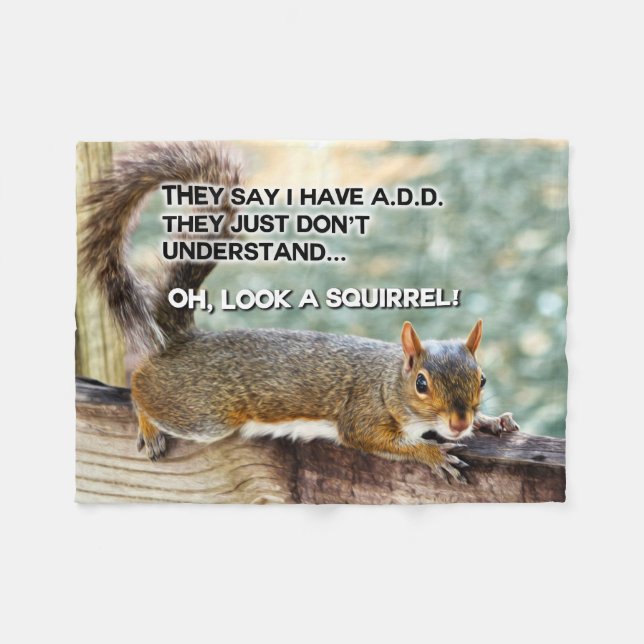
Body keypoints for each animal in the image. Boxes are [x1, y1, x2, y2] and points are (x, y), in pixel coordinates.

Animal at [80, 141, 519, 483]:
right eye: (422, 384)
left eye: (481, 378)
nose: (459, 421)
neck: (387, 381)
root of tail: (184, 341)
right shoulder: (362, 417)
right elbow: (374, 441)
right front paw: (432, 454)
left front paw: (488, 421)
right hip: (203, 414)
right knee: (140, 387)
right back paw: (148, 424)